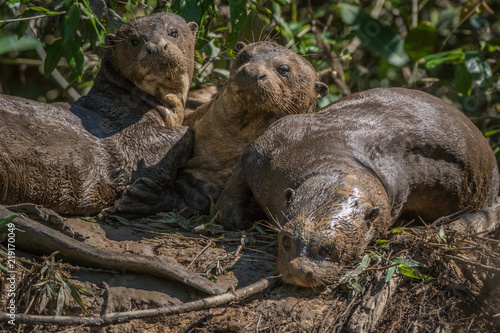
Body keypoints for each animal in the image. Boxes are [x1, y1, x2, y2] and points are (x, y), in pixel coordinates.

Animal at [0, 11, 199, 214]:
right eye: (135, 40)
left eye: (173, 32)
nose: (156, 47)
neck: (130, 101)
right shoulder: (134, 138)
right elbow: (185, 134)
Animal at [109, 40, 328, 215]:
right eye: (244, 56)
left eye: (283, 69)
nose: (252, 72)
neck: (227, 150)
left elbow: (199, 199)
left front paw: (144, 197)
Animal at [218, 87, 500, 286]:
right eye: (286, 240)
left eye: (328, 249)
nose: (299, 270)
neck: (325, 150)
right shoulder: (265, 147)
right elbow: (235, 181)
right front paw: (233, 218)